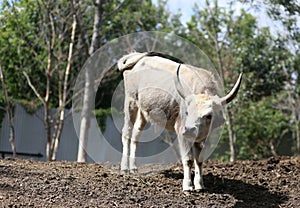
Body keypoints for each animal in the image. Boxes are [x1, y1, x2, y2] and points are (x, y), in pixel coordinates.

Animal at [116, 51, 241, 192]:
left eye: (208, 116)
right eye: (187, 112)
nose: (189, 130)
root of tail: (135, 56)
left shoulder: (202, 137)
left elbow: (199, 160)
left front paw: (199, 184)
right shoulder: (181, 132)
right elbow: (188, 159)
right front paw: (187, 185)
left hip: (143, 111)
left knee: (136, 134)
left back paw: (133, 167)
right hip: (131, 101)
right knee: (127, 133)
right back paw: (125, 168)